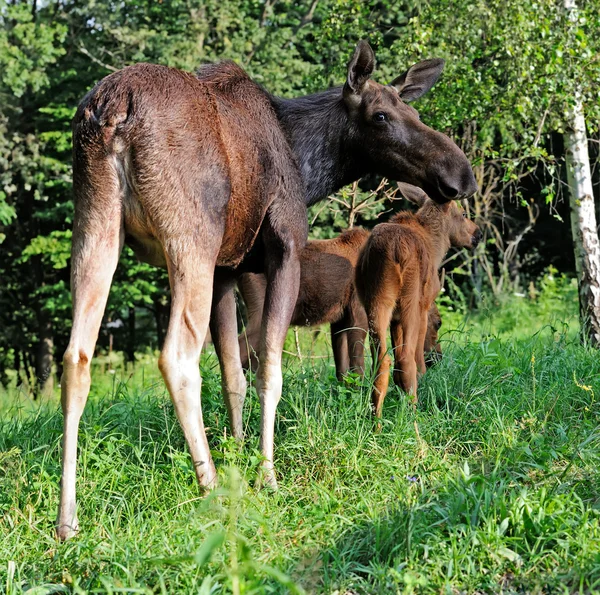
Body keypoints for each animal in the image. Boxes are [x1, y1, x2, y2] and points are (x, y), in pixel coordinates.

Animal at [356, 184, 482, 416]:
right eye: (463, 214)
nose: (478, 234)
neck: (436, 245)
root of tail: (393, 249)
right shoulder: (424, 305)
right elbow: (417, 353)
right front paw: (424, 376)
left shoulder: (394, 318)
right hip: (410, 301)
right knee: (406, 357)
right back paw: (413, 412)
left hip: (377, 301)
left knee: (382, 358)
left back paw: (376, 418)